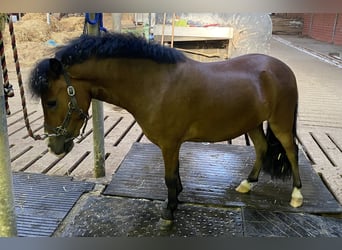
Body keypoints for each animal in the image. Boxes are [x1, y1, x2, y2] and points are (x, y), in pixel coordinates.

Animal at [28, 32, 302, 221]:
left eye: (51, 102)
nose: (54, 145)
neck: (156, 84)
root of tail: (283, 69)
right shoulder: (174, 144)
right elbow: (176, 175)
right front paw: (177, 198)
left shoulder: (169, 144)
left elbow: (169, 178)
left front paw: (169, 211)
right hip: (252, 123)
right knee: (262, 148)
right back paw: (247, 183)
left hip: (280, 123)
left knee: (291, 151)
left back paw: (297, 195)